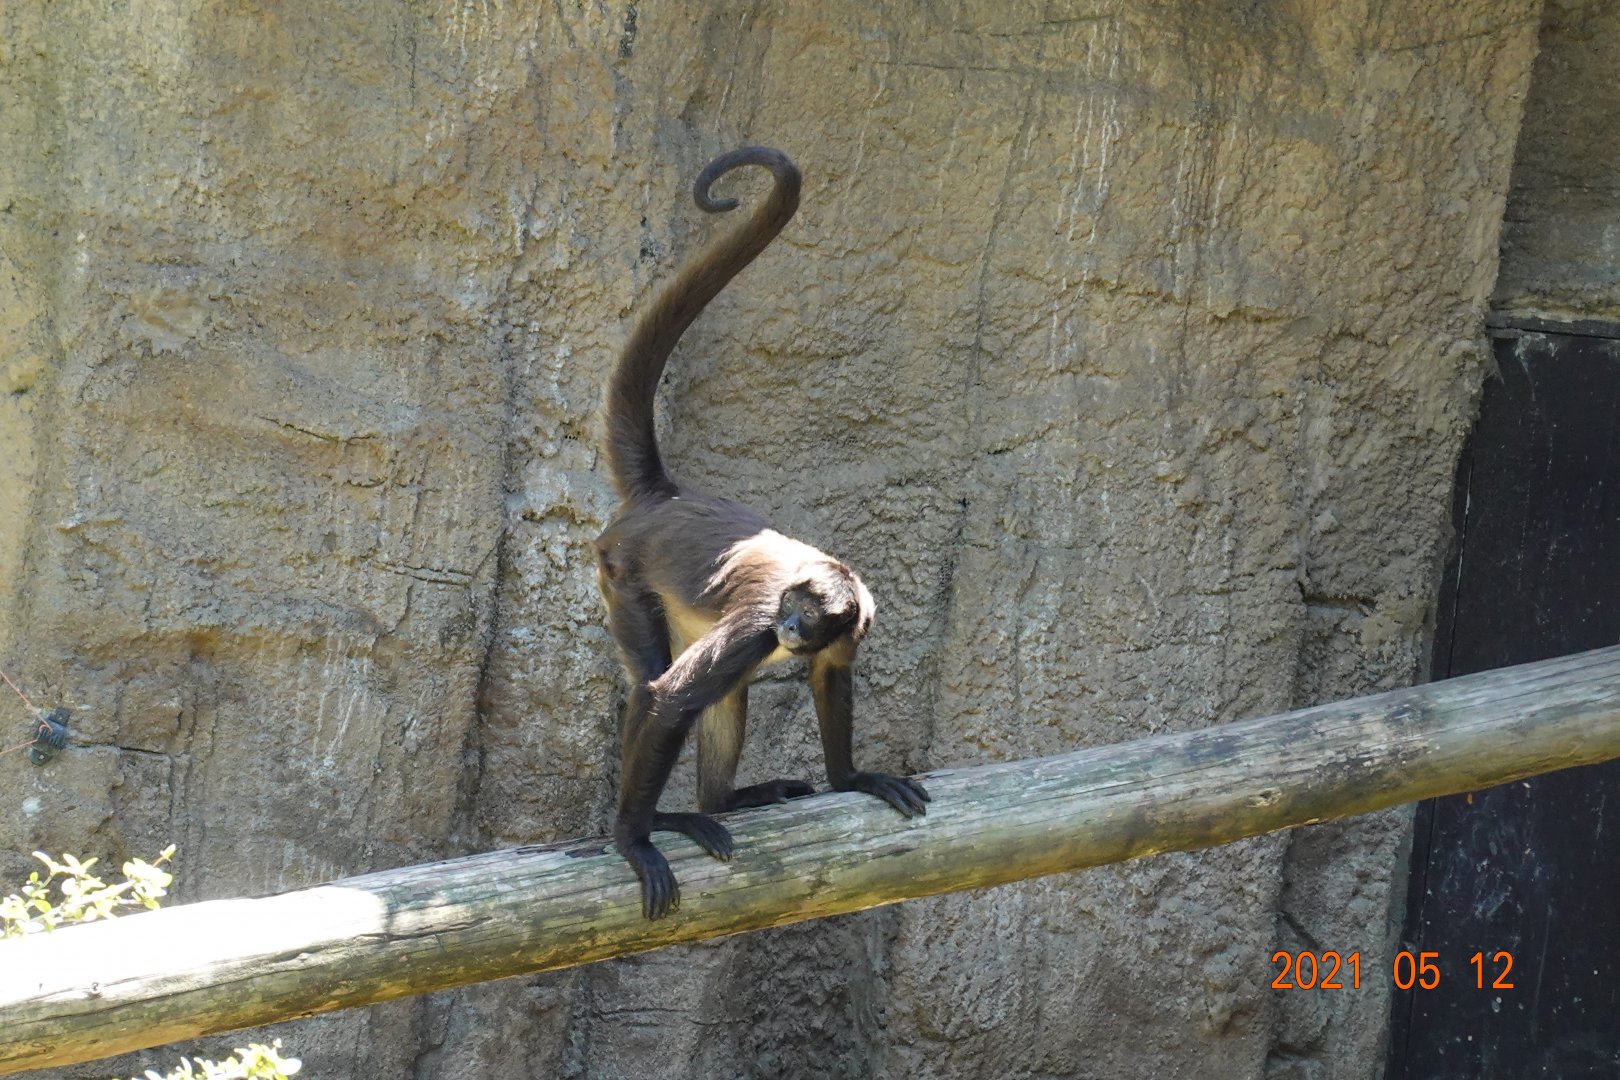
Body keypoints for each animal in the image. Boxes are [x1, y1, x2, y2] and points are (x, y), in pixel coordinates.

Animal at [595, 147, 930, 920]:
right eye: (791, 608)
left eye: (811, 616)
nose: (792, 628)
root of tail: (668, 497)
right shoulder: (754, 625)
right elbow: (668, 699)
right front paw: (633, 843)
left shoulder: (852, 623)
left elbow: (831, 676)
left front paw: (852, 778)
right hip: (623, 572)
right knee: (659, 679)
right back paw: (660, 820)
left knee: (726, 694)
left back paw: (729, 800)